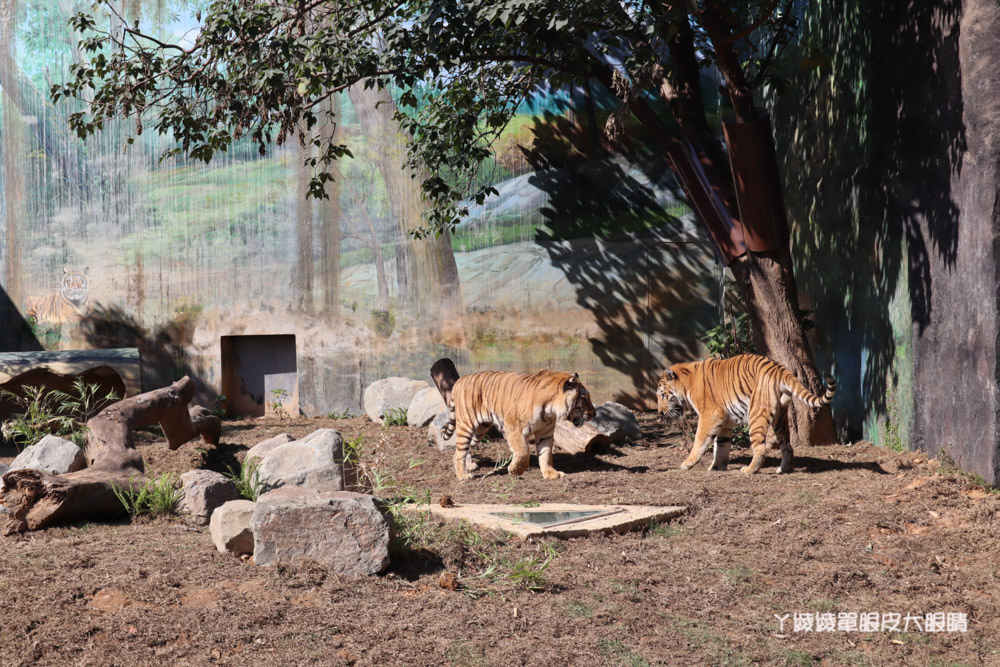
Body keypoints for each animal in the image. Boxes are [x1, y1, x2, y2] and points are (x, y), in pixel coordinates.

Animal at [428, 360, 592, 480]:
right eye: (584, 398)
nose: (594, 414)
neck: (551, 409)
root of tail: (460, 380)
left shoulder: (545, 433)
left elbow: (545, 454)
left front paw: (551, 473)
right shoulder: (513, 427)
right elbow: (523, 451)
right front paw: (515, 470)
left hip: (480, 429)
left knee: (463, 450)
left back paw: (469, 466)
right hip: (466, 425)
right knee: (459, 452)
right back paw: (463, 476)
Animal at [656, 354, 836, 474]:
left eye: (662, 395)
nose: (660, 412)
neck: (686, 384)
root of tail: (779, 368)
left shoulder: (710, 415)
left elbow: (700, 440)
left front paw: (687, 463)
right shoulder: (725, 421)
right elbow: (721, 445)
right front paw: (716, 467)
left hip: (756, 414)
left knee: (761, 447)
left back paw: (749, 470)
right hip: (780, 418)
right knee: (787, 446)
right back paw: (783, 470)